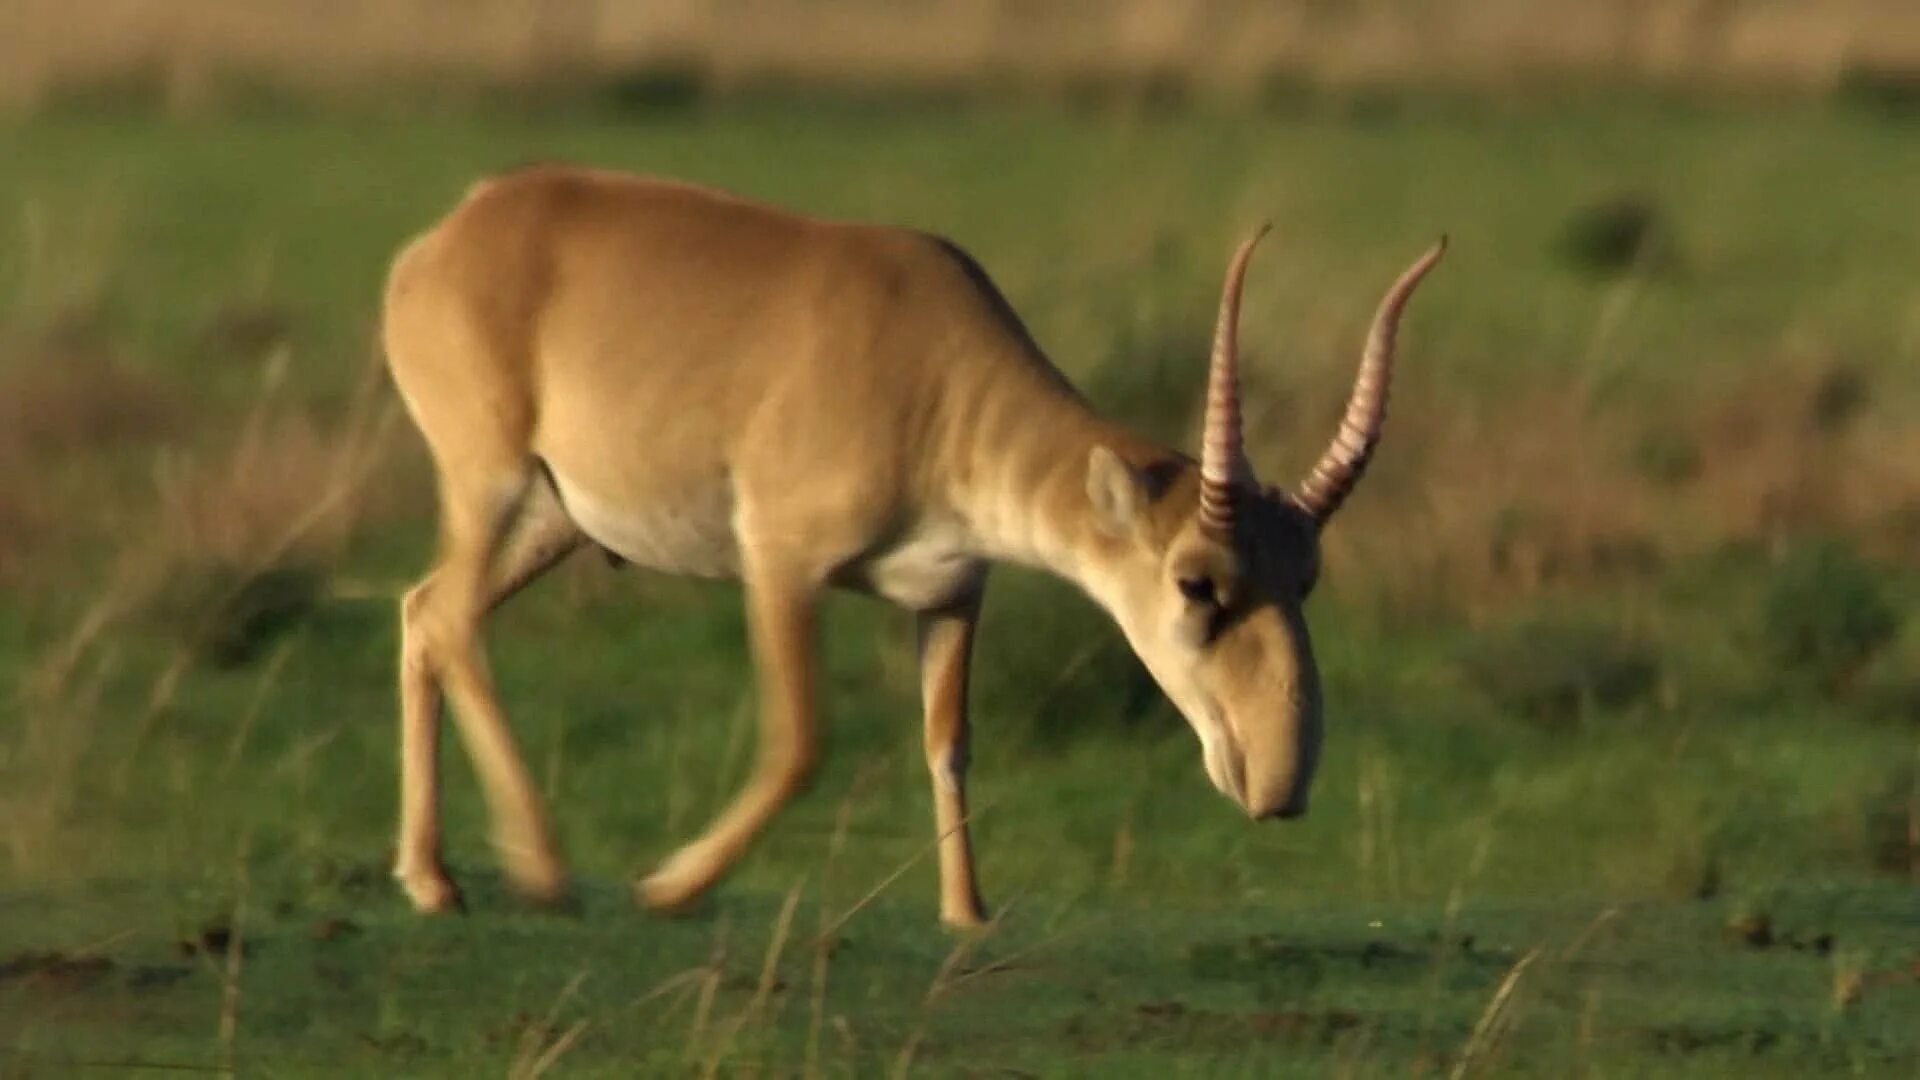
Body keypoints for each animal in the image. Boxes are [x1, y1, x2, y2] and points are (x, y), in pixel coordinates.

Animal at [385, 164, 1443, 922]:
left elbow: (949, 743)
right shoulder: (781, 565)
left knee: (423, 611)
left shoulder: (949, 593)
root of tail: (447, 235)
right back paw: (541, 871)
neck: (931, 372)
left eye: (1306, 575)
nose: (1280, 784)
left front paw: (967, 912)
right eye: (1196, 584)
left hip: (554, 521)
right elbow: (802, 739)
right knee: (452, 621)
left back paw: (433, 878)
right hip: (488, 483)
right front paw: (670, 887)